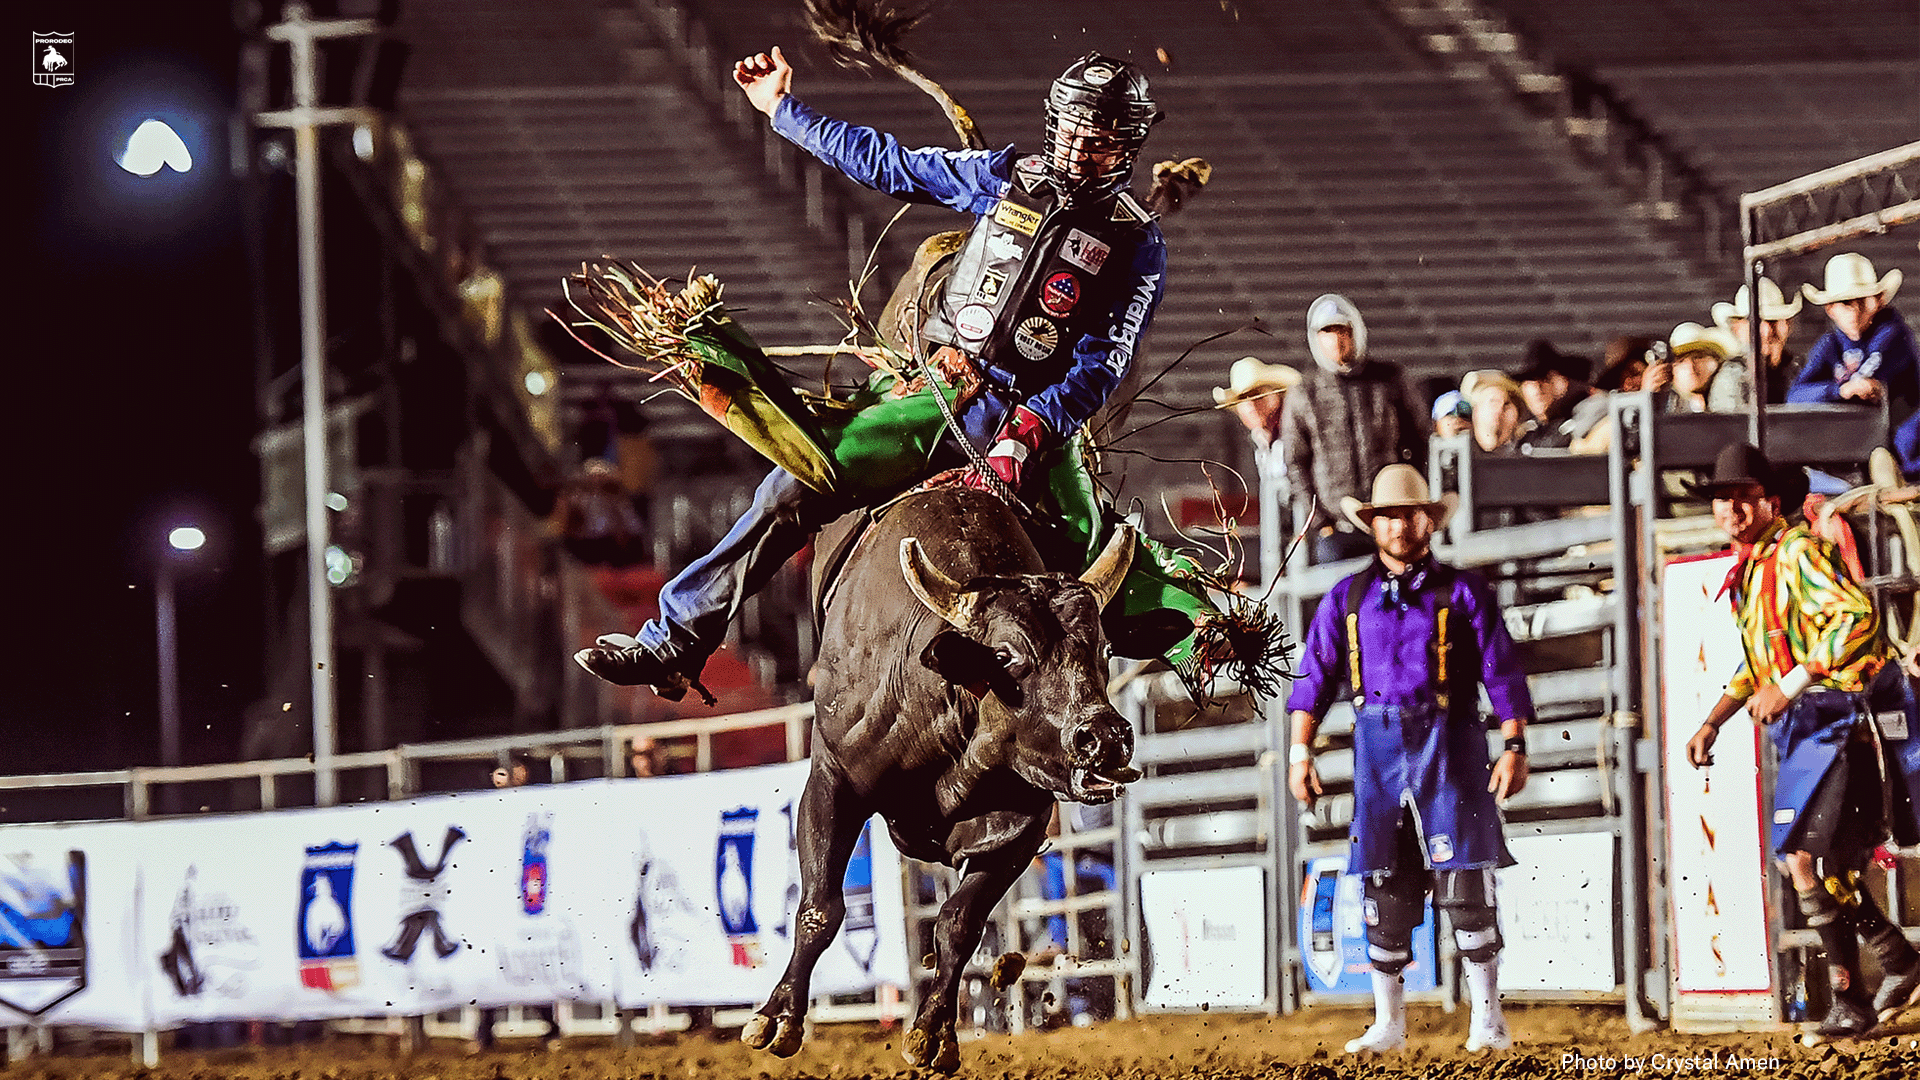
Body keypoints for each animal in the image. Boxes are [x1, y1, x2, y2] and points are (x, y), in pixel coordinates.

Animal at [741, 486, 1136, 1068]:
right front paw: (779, 1017)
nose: (1105, 737)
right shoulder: (831, 782)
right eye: (1006, 654)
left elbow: (958, 923)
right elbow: (820, 910)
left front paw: (933, 1031)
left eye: (1105, 650)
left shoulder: (1020, 829)